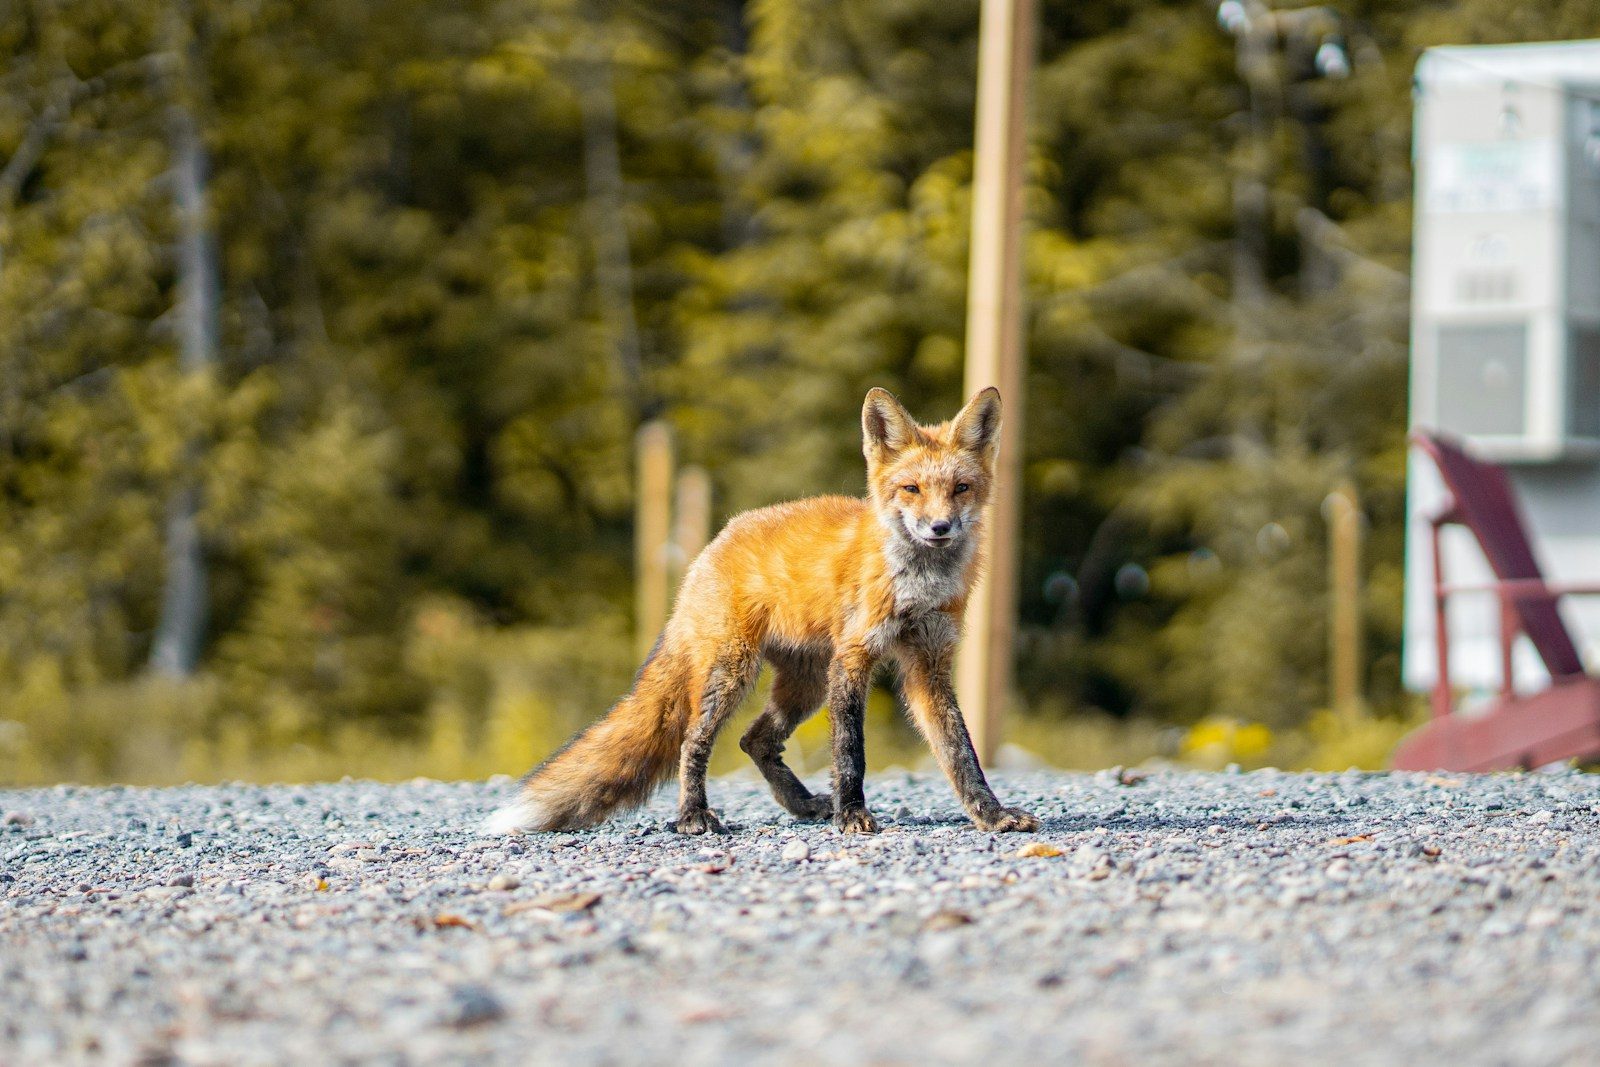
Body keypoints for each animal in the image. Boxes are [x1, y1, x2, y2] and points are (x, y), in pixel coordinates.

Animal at [486, 388, 1036, 838]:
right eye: (912, 489)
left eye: (960, 488)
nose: (940, 528)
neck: (918, 584)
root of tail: (712, 545)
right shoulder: (854, 657)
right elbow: (850, 752)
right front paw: (852, 815)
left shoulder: (928, 663)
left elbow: (960, 752)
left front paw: (991, 814)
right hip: (734, 672)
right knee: (693, 742)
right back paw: (693, 816)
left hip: (805, 686)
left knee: (755, 741)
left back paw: (802, 804)